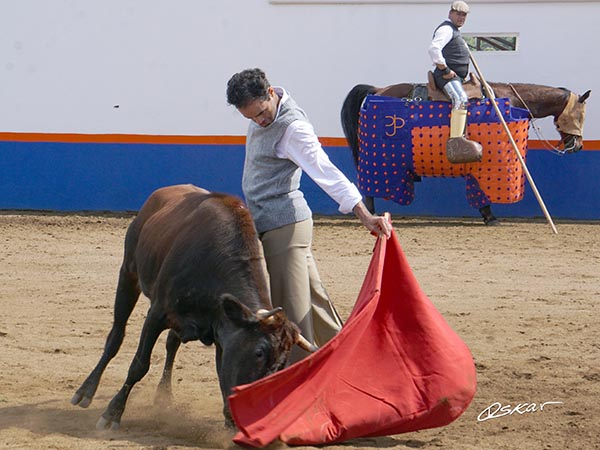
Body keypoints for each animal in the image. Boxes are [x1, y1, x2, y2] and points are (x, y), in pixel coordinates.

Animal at [71, 184, 314, 428]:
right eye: (259, 352)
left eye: (283, 365)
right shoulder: (157, 314)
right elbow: (139, 364)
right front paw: (113, 413)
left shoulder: (222, 331)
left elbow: (220, 373)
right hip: (128, 272)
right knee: (116, 336)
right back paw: (85, 391)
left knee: (171, 344)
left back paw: (164, 396)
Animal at [342, 80, 592, 224]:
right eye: (580, 115)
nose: (577, 145)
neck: (507, 99)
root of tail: (377, 91)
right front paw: (489, 215)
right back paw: (371, 211)